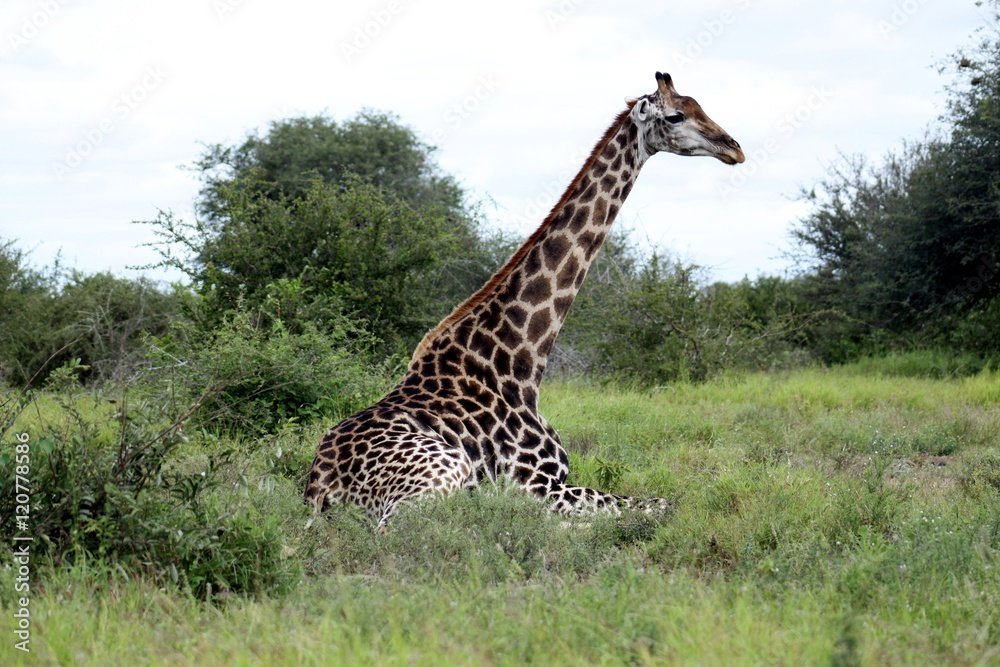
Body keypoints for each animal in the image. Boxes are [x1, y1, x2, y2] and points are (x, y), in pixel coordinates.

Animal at [305, 72, 744, 529]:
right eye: (675, 116)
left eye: (699, 106)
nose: (735, 148)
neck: (523, 363)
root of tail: (319, 488)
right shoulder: (536, 484)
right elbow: (662, 505)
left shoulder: (557, 480)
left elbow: (662, 502)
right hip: (439, 474)